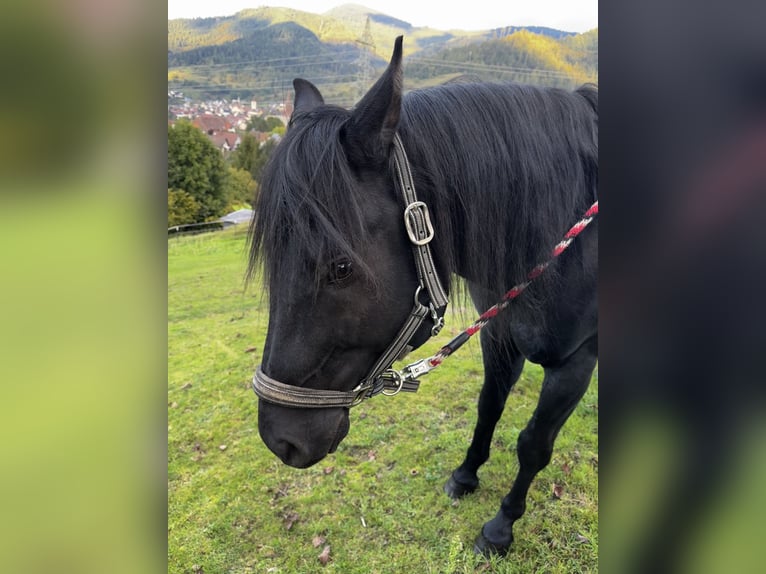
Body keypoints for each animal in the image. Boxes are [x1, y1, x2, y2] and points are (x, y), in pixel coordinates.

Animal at [247, 36, 598, 556]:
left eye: (341, 267)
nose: (279, 440)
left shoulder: (576, 361)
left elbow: (534, 444)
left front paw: (501, 526)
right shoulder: (499, 335)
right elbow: (488, 407)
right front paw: (466, 475)